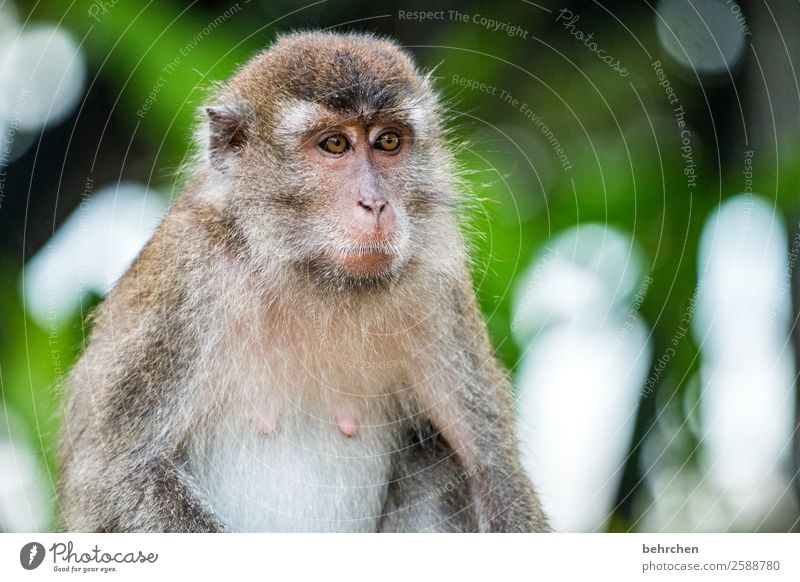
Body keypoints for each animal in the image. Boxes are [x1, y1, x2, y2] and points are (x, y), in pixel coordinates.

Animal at [59, 30, 552, 532]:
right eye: (334, 144)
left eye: (388, 141)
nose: (375, 203)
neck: (313, 275)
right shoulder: (187, 276)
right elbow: (116, 472)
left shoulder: (437, 287)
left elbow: (492, 470)